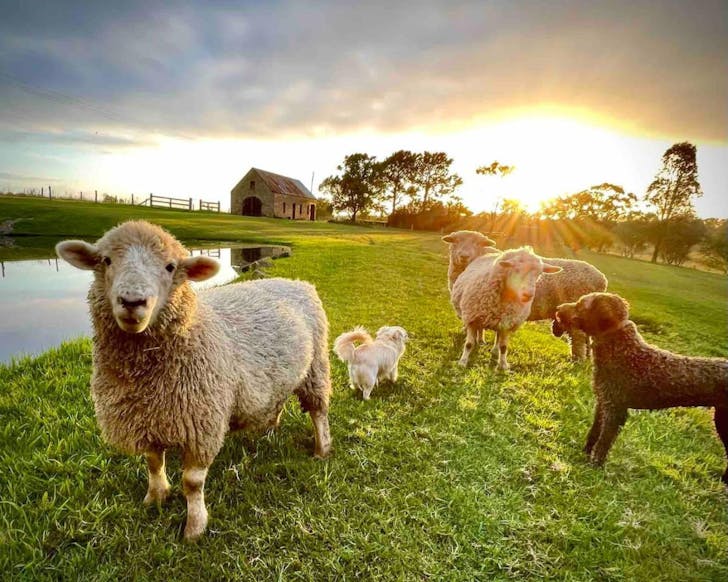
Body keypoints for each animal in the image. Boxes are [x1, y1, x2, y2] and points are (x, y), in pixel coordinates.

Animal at [55, 220, 332, 540]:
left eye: (170, 267)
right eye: (106, 260)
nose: (132, 301)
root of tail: (298, 283)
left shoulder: (203, 423)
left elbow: (192, 482)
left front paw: (195, 527)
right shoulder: (146, 418)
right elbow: (153, 463)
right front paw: (156, 497)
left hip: (316, 367)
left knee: (318, 411)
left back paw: (322, 450)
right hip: (281, 374)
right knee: (278, 399)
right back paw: (269, 429)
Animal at [442, 230, 607, 360]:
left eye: (478, 243)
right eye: (456, 241)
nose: (464, 256)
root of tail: (601, 279)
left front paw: (476, 340)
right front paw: (481, 341)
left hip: (574, 315)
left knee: (578, 339)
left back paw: (577, 359)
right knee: (587, 338)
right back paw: (588, 358)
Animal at [554, 292, 728, 482]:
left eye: (580, 305)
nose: (558, 309)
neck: (621, 349)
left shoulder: (615, 411)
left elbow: (603, 443)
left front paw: (594, 467)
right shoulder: (603, 403)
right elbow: (593, 433)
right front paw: (584, 453)